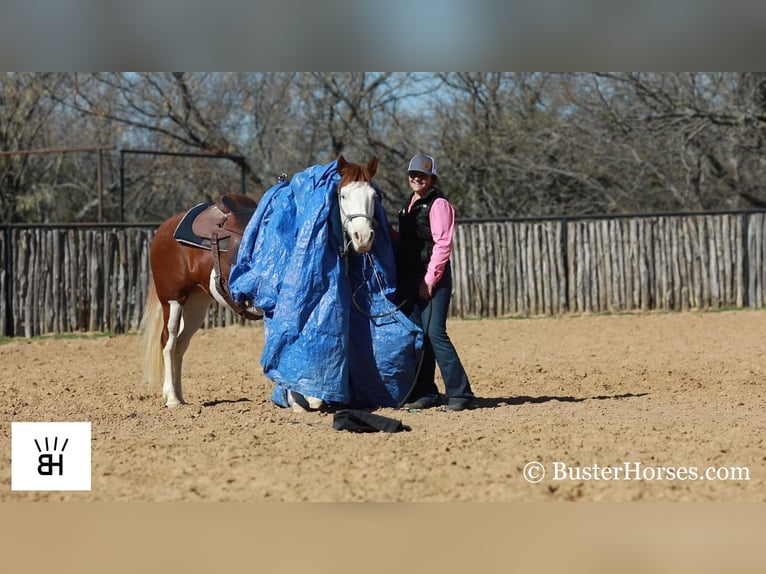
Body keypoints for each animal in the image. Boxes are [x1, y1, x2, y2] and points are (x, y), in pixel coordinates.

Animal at [141, 156, 380, 410]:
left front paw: (312, 399)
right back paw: (172, 398)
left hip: (197, 303)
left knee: (181, 345)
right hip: (173, 300)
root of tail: (165, 228)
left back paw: (180, 396)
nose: (363, 237)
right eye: (342, 195)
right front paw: (297, 402)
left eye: (374, 195)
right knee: (168, 342)